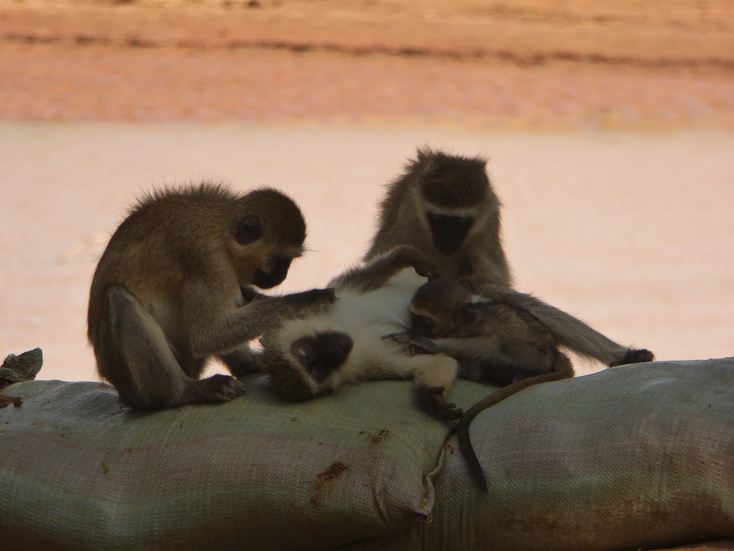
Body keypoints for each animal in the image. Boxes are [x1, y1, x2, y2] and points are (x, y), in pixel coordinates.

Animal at [87, 183, 336, 412]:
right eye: (282, 260)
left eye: (289, 262)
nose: (282, 277)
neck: (224, 232)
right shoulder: (209, 261)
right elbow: (208, 335)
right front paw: (307, 299)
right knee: (119, 299)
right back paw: (181, 392)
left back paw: (247, 365)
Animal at [258, 246, 466, 422]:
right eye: (320, 370)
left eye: (306, 350)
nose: (332, 350)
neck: (350, 330)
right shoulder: (370, 363)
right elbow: (440, 361)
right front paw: (430, 396)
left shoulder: (338, 295)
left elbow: (369, 277)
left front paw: (408, 256)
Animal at [366, 149, 656, 368]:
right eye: (438, 219)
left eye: (460, 223)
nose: (448, 241)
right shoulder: (406, 215)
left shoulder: (488, 218)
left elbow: (494, 280)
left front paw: (464, 285)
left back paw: (625, 355)